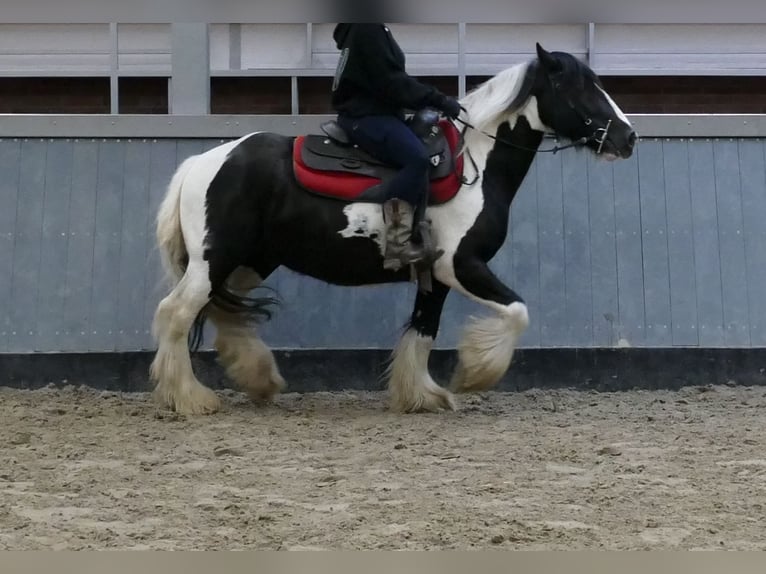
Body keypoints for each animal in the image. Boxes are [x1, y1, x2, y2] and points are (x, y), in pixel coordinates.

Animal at [149, 43, 637, 416]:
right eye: (578, 87)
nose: (628, 138)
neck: (474, 166)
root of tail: (203, 162)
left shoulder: (434, 275)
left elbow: (423, 329)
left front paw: (422, 395)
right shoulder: (461, 266)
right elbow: (517, 311)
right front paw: (472, 376)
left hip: (251, 262)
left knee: (224, 313)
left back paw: (259, 379)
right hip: (215, 259)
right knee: (177, 312)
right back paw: (189, 397)